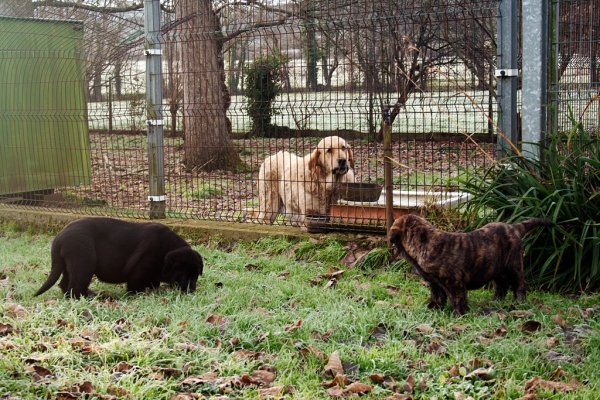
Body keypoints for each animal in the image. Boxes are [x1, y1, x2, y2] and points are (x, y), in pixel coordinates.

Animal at [35, 217, 204, 298]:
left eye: (196, 275)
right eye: (183, 275)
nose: (191, 291)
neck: (166, 252)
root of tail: (59, 237)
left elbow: (153, 283)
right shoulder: (139, 271)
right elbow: (135, 286)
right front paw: (137, 295)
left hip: (68, 264)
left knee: (65, 283)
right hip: (84, 261)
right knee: (75, 285)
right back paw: (87, 298)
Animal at [390, 216, 552, 316]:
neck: (424, 240)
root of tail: (514, 227)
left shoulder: (454, 282)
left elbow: (458, 299)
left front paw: (460, 314)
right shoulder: (435, 284)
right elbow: (437, 297)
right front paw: (435, 310)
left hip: (513, 265)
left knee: (519, 284)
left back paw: (519, 303)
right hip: (497, 268)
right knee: (501, 286)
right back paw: (495, 301)